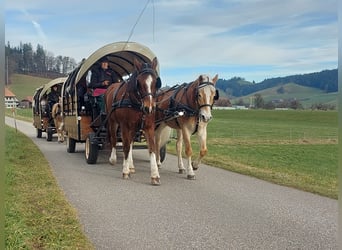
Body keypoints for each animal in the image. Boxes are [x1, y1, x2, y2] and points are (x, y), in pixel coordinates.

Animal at [105, 57, 161, 185]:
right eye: (139, 82)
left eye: (156, 82)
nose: (149, 108)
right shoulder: (125, 126)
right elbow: (125, 146)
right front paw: (125, 171)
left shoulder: (148, 126)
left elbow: (152, 148)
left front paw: (155, 175)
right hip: (112, 122)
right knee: (114, 139)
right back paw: (113, 159)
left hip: (134, 127)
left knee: (130, 143)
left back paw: (130, 165)